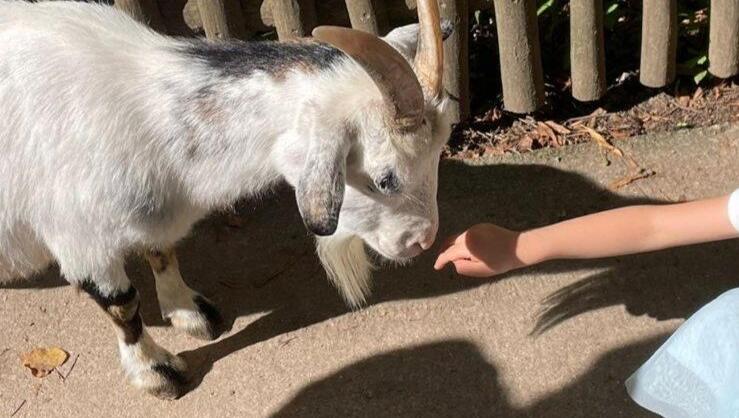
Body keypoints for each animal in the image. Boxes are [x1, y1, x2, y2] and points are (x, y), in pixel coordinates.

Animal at [0, 0, 453, 398]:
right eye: (385, 178)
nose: (423, 240)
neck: (147, 119)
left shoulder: (155, 218)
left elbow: (163, 254)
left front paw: (192, 313)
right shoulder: (82, 240)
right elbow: (123, 308)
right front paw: (157, 373)